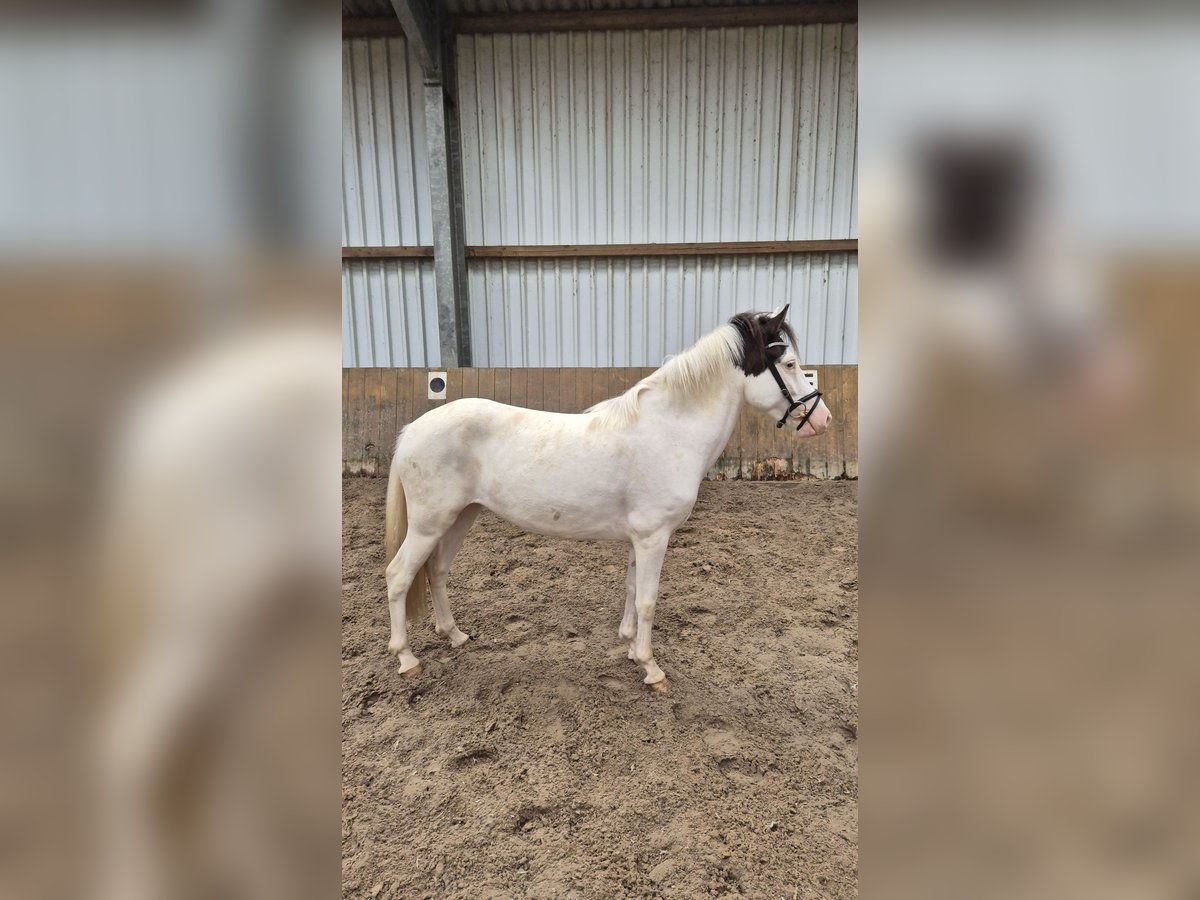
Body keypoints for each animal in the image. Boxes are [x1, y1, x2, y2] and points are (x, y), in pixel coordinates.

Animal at [386, 307, 835, 696]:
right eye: (790, 363)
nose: (824, 419)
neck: (670, 431)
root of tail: (411, 430)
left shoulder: (641, 538)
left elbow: (631, 588)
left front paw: (630, 646)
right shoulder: (654, 537)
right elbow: (648, 600)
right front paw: (652, 669)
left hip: (460, 517)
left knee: (437, 571)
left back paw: (456, 635)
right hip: (429, 523)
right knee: (399, 575)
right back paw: (407, 660)